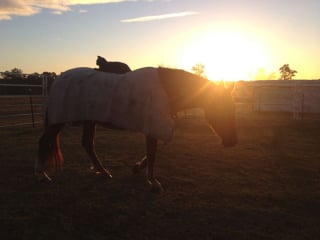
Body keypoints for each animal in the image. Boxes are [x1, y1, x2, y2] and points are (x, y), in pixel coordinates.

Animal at [35, 66, 238, 190]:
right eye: (223, 108)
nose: (233, 142)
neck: (166, 88)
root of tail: (58, 80)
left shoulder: (155, 127)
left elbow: (151, 153)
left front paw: (137, 168)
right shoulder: (152, 125)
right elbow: (153, 153)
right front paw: (153, 182)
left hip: (88, 120)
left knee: (87, 144)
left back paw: (103, 172)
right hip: (58, 121)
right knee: (44, 142)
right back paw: (42, 175)